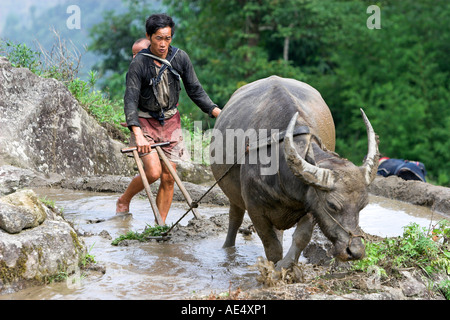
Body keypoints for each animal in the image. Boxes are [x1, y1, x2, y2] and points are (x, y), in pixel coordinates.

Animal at [209, 76, 378, 268]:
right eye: (332, 205)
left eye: (362, 206)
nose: (355, 251)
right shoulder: (255, 210)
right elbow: (272, 247)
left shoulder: (311, 206)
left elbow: (301, 238)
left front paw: (287, 266)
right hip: (233, 194)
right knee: (235, 219)